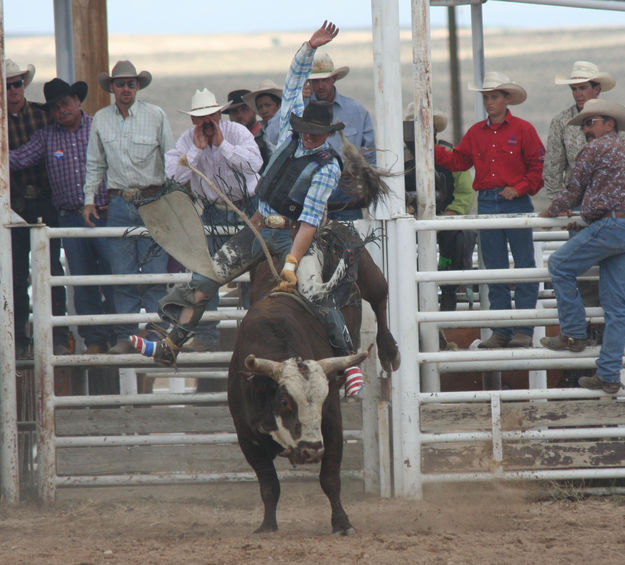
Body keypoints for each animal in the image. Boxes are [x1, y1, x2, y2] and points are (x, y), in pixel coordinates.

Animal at [229, 221, 400, 532]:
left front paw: (342, 523)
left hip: (366, 267)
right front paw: (267, 526)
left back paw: (389, 351)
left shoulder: (331, 423)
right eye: (285, 402)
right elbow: (268, 484)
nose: (311, 451)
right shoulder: (246, 435)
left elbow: (330, 478)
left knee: (380, 295)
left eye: (322, 400)